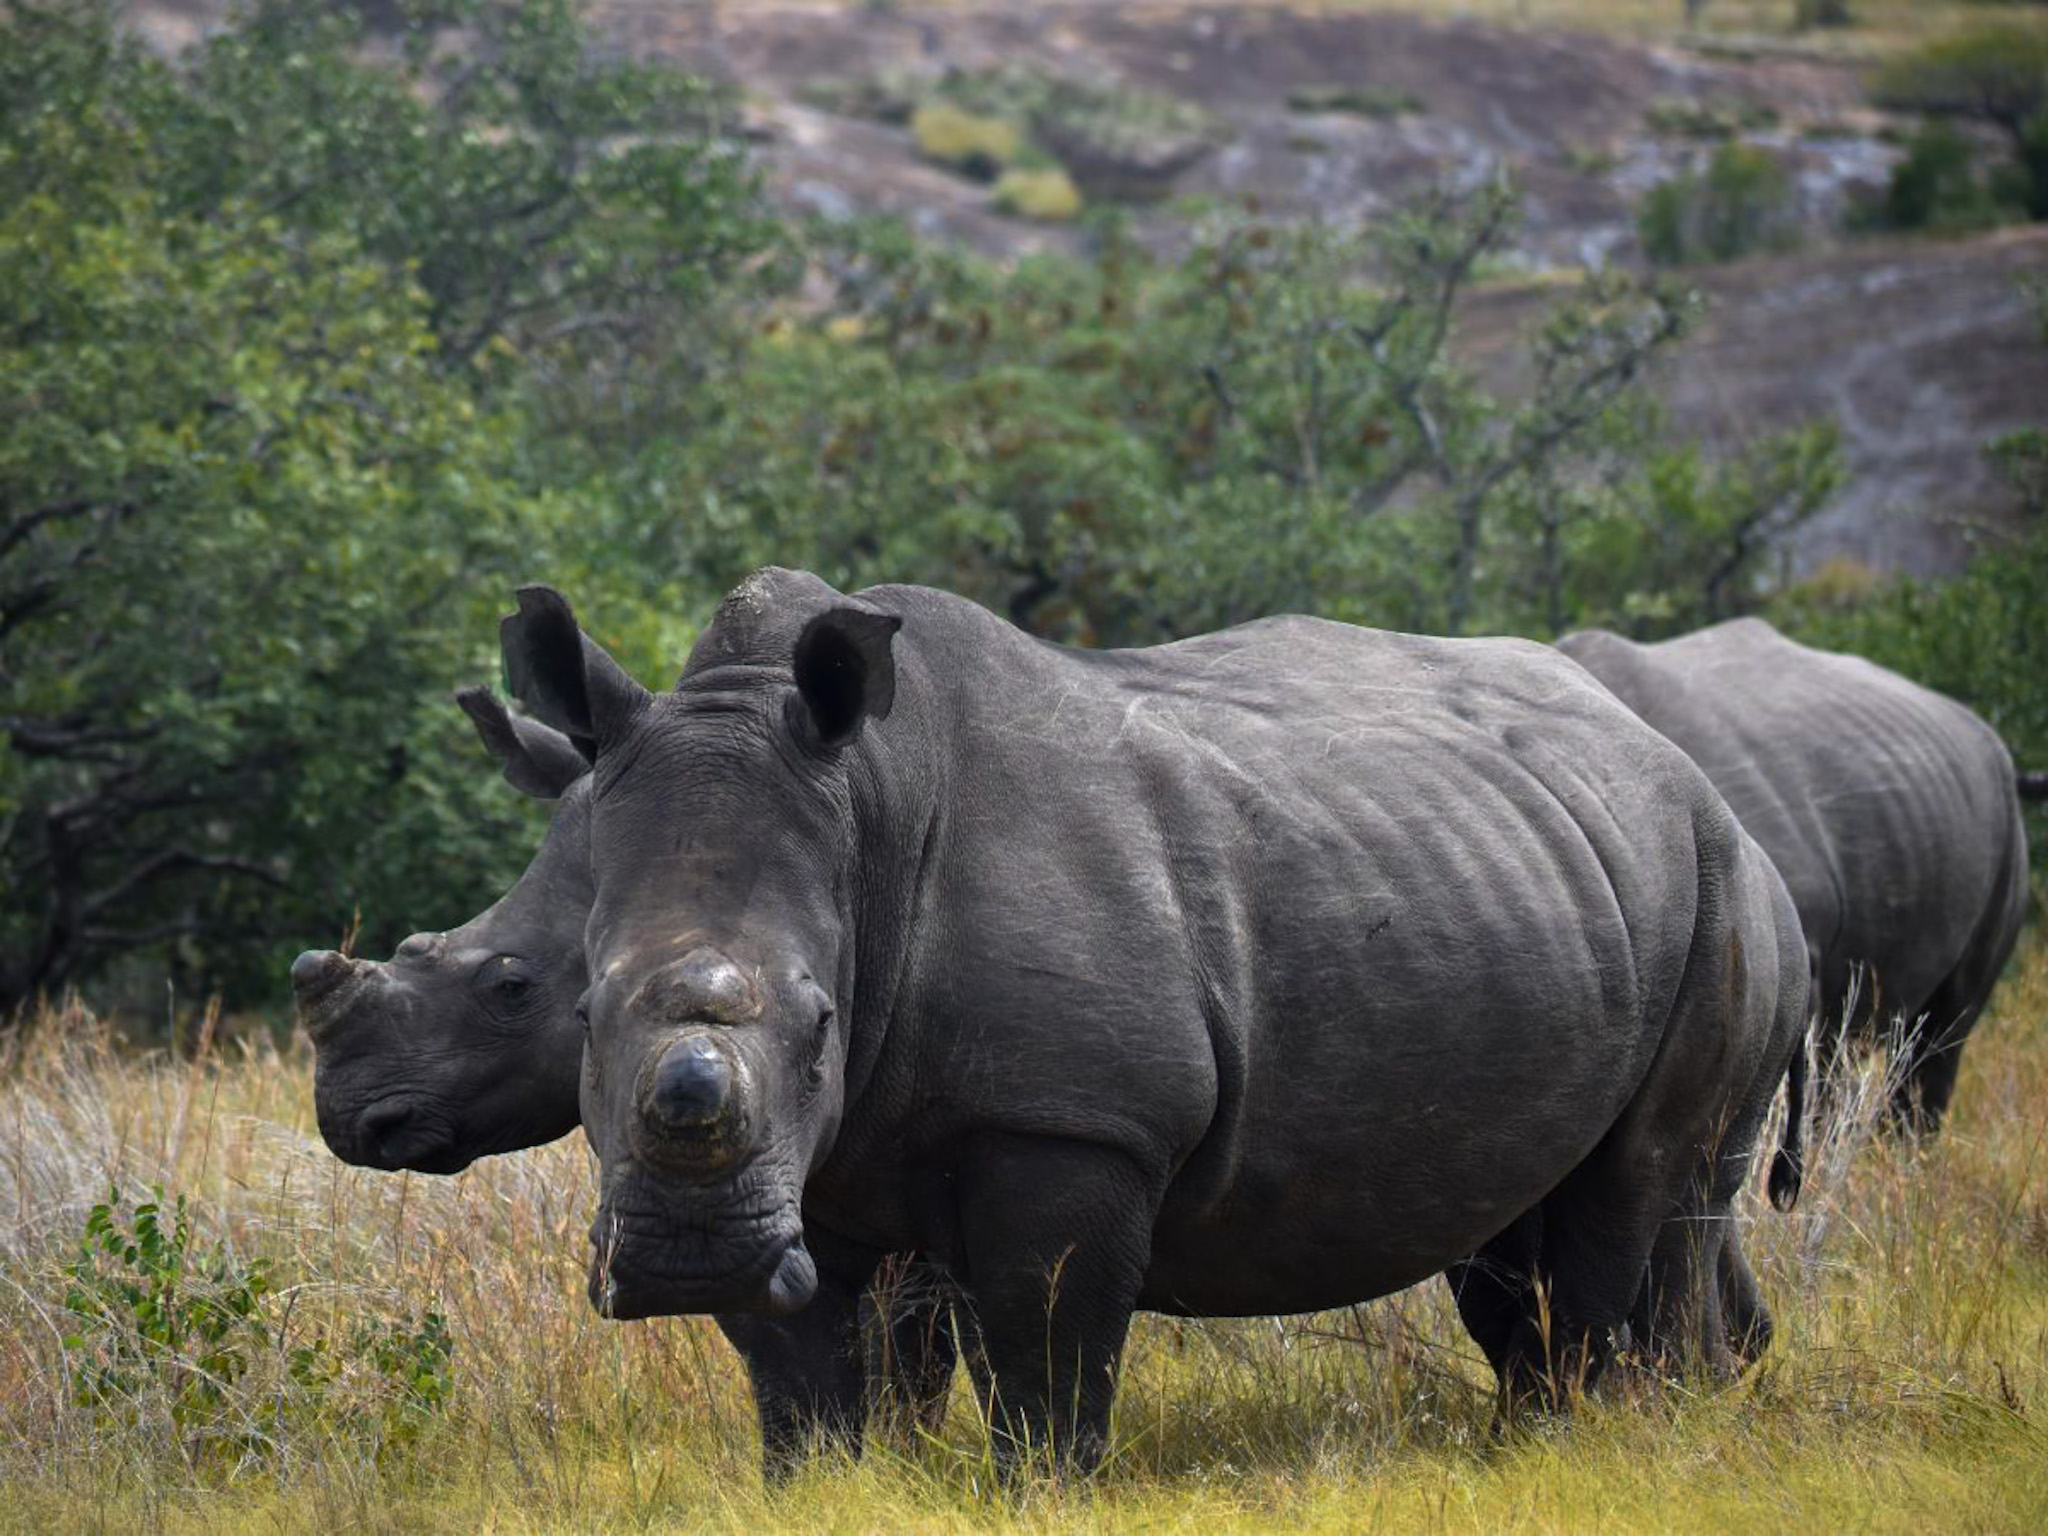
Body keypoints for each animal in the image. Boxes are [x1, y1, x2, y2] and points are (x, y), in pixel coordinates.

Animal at [502, 568, 1809, 1473]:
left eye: (823, 1023)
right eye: (580, 1012)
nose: (683, 1259)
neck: (867, 809)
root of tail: (1688, 775)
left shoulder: (1072, 1123)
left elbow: (1045, 1352)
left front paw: (1040, 1492)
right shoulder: (799, 1171)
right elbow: (800, 1368)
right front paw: (820, 1487)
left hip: (1718, 890)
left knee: (1637, 1190)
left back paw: (1605, 1439)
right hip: (1547, 875)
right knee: (1522, 1229)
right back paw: (1561, 1435)